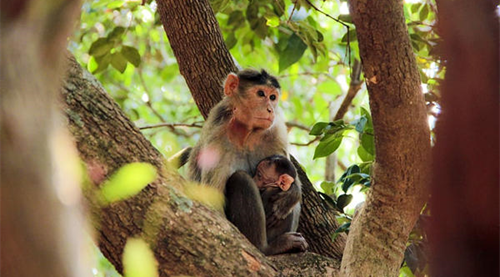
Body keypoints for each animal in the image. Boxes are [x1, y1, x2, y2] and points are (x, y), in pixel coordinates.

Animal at [186, 69, 306, 254]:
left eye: (272, 97)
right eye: (260, 94)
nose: (270, 109)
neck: (244, 133)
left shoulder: (275, 131)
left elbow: (290, 173)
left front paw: (290, 195)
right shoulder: (215, 141)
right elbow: (213, 202)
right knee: (240, 179)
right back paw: (266, 248)